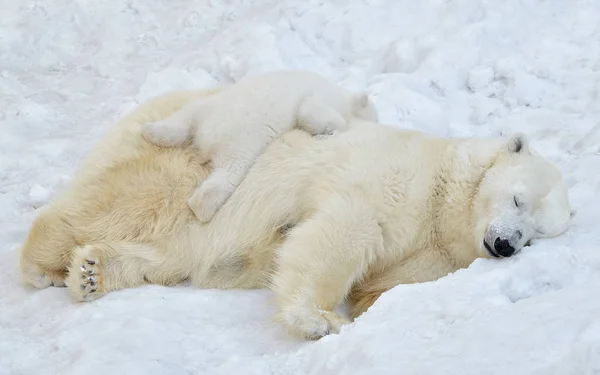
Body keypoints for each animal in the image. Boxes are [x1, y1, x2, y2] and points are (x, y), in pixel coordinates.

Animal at [19, 88, 572, 340]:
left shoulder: (432, 251)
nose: (504, 244)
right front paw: (320, 320)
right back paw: (42, 262)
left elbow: (384, 284)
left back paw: (93, 272)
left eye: (534, 236)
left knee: (168, 255)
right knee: (126, 204)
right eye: (518, 201)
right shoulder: (394, 179)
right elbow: (345, 229)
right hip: (184, 169)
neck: (444, 196)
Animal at [139, 70, 378, 223]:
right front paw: (330, 131)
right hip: (240, 139)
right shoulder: (320, 96)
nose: (377, 121)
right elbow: (312, 112)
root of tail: (208, 136)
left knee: (183, 121)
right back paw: (203, 208)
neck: (342, 94)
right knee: (229, 173)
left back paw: (150, 131)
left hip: (208, 110)